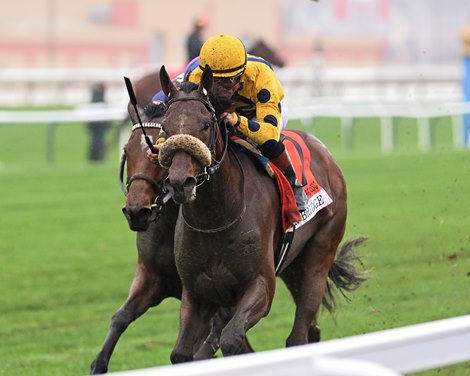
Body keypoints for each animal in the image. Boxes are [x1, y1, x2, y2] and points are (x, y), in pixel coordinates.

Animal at [158, 64, 368, 362]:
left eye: (206, 124)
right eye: (165, 126)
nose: (180, 182)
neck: (215, 218)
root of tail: (324, 152)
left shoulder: (261, 285)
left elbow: (232, 338)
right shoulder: (196, 294)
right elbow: (180, 354)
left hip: (319, 253)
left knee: (298, 335)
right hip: (292, 266)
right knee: (312, 330)